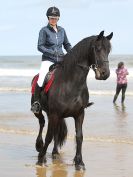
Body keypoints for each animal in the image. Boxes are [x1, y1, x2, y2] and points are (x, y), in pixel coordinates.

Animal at [31, 30, 113, 170]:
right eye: (97, 48)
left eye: (108, 50)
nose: (105, 74)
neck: (71, 83)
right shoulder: (54, 114)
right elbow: (48, 136)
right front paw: (41, 159)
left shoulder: (79, 114)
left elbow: (79, 136)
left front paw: (79, 162)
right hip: (40, 111)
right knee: (42, 123)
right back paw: (39, 146)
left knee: (55, 131)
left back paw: (55, 152)